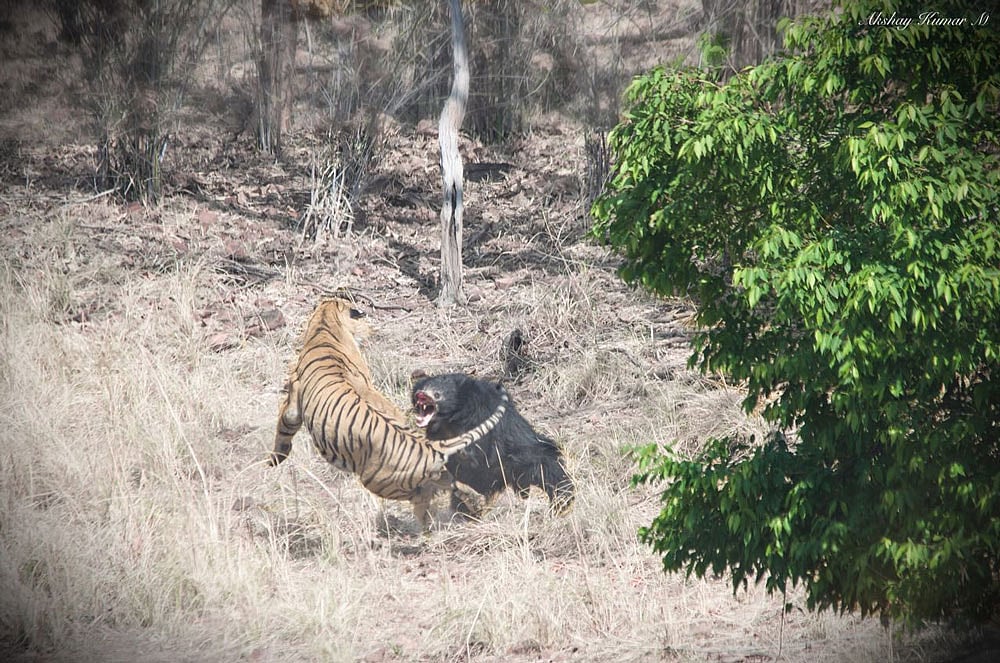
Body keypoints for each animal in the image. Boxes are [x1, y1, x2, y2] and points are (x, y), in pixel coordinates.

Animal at [269, 298, 508, 527]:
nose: (372, 331)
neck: (325, 323)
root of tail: (431, 447)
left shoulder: (293, 402)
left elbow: (284, 427)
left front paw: (275, 459)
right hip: (430, 474)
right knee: (455, 484)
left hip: (378, 481)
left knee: (424, 496)